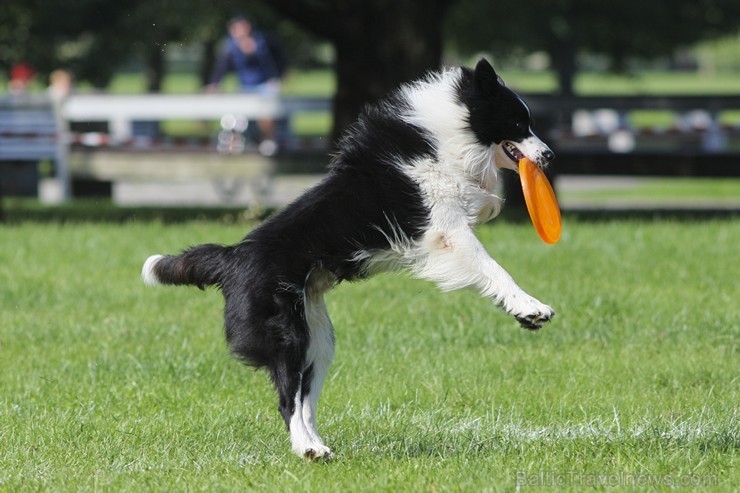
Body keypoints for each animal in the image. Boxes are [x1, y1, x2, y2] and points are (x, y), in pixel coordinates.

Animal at [140, 59, 556, 460]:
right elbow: (493, 268)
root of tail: (232, 256)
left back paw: (320, 447)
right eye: (518, 123)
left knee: (306, 399)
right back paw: (307, 449)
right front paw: (530, 308)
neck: (449, 133)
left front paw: (523, 313)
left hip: (318, 337)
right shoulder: (446, 231)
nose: (550, 156)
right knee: (287, 400)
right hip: (286, 333)